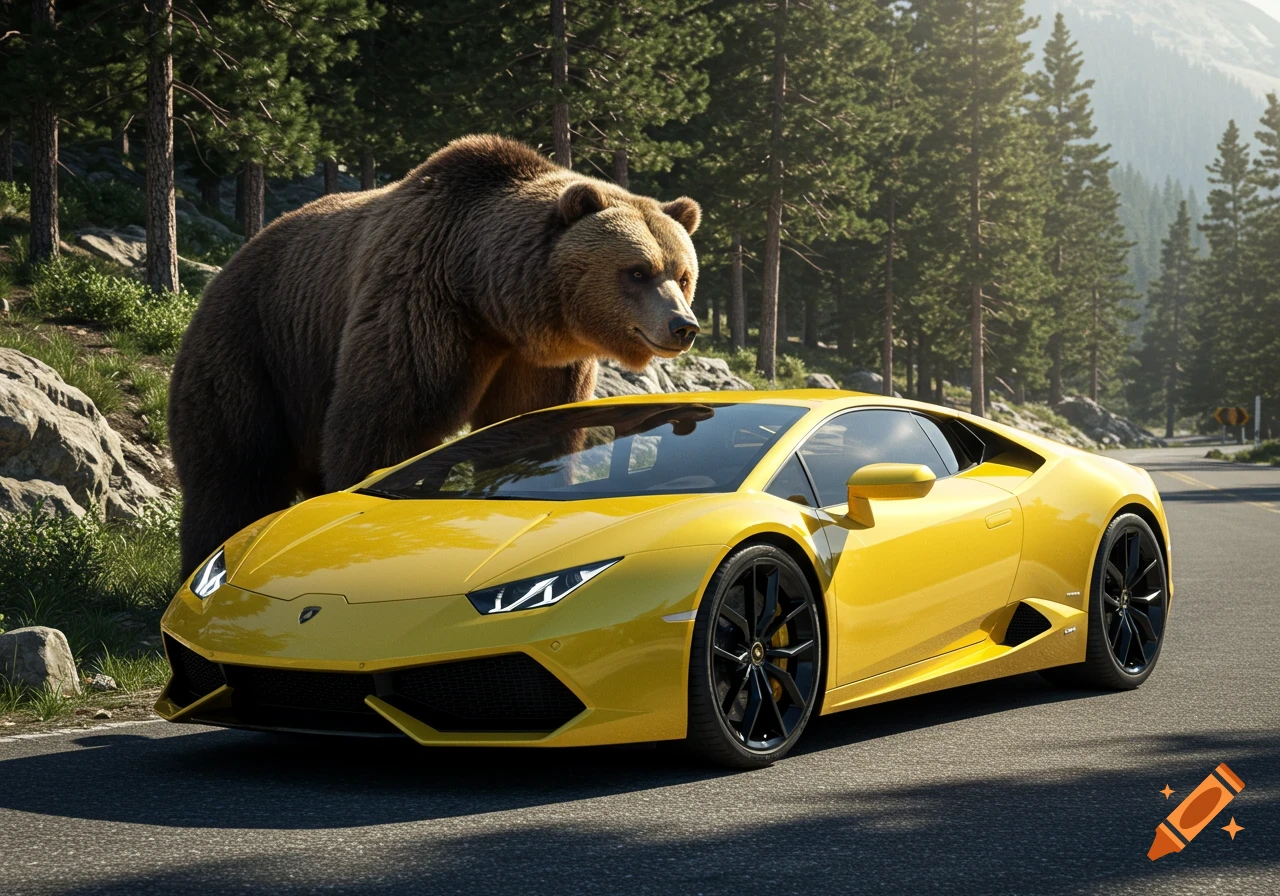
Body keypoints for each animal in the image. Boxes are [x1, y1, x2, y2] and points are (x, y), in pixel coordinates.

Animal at [168, 134, 703, 577]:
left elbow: (534, 430)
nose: (684, 326)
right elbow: (387, 419)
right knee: (236, 465)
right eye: (637, 270)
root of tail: (236, 256)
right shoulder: (420, 302)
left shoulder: (537, 362)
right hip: (256, 344)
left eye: (682, 274)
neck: (492, 299)